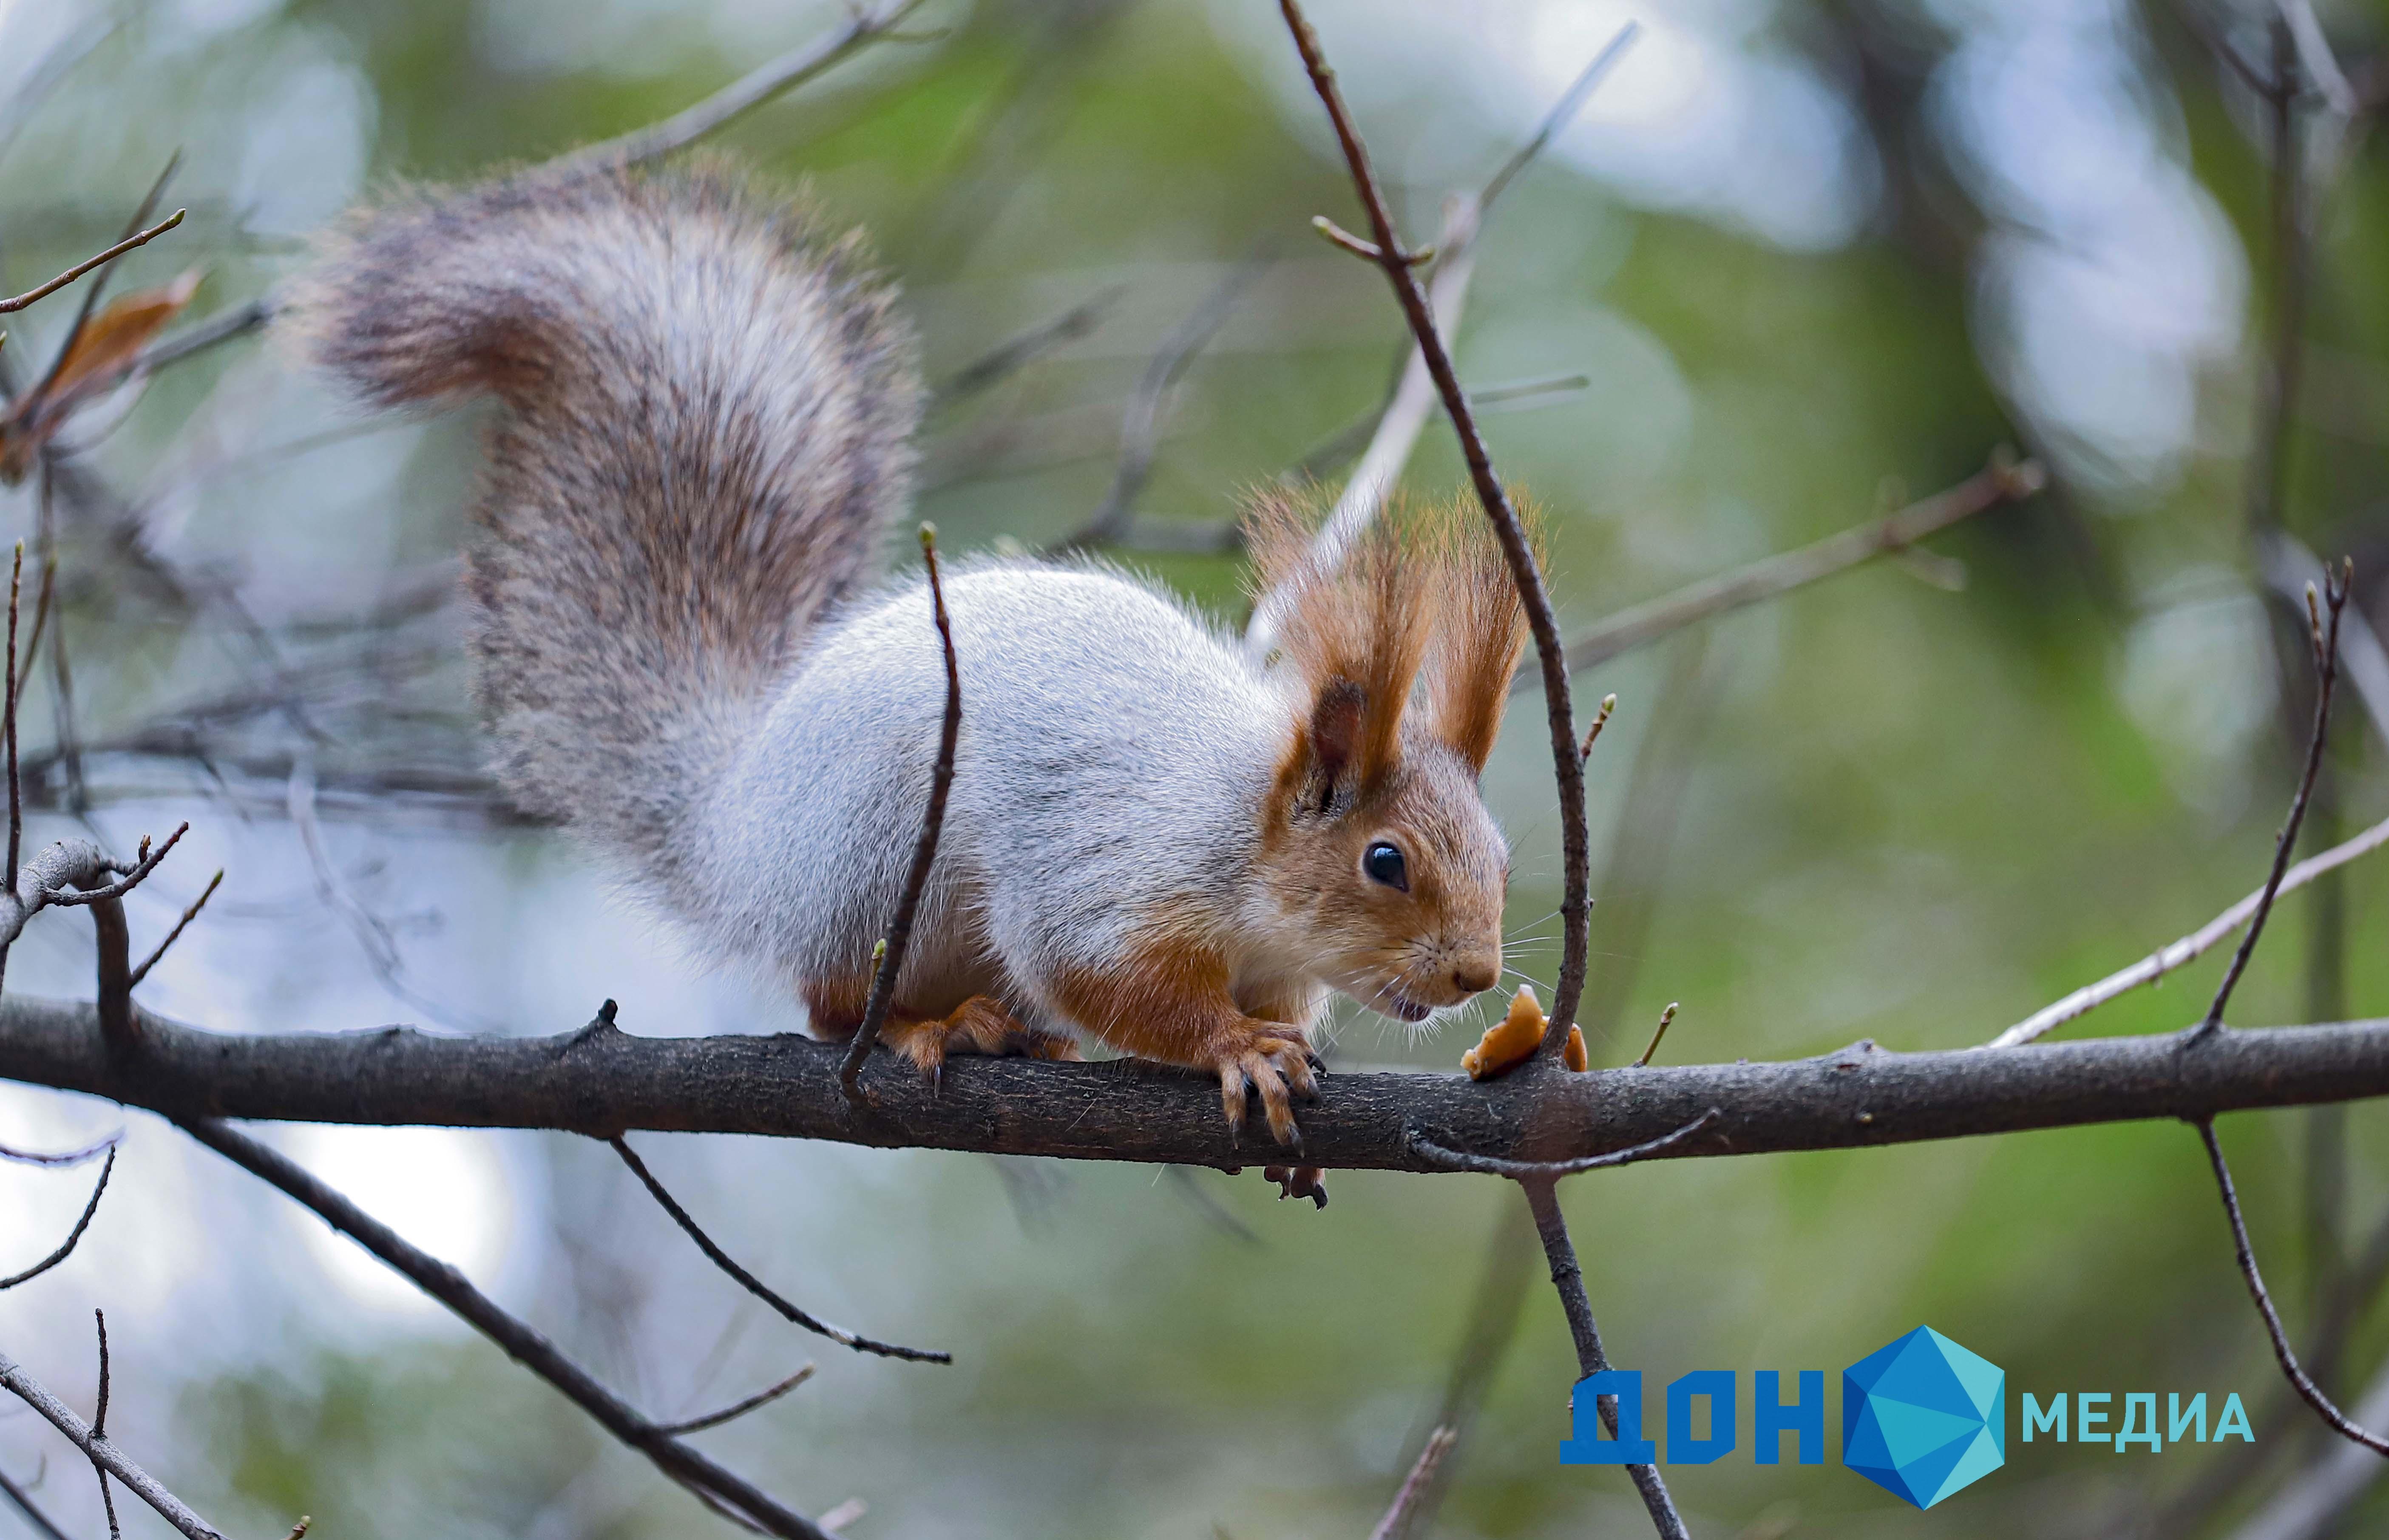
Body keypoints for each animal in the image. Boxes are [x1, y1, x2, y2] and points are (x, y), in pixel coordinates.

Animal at [294, 159, 1529, 1165]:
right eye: (1383, 860)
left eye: (1500, 854)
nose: (1474, 974)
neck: (1251, 840)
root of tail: (734, 827)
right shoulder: (1115, 873)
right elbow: (1106, 977)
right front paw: (1233, 1045)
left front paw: (1278, 1043)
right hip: (880, 859)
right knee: (828, 1004)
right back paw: (933, 1023)